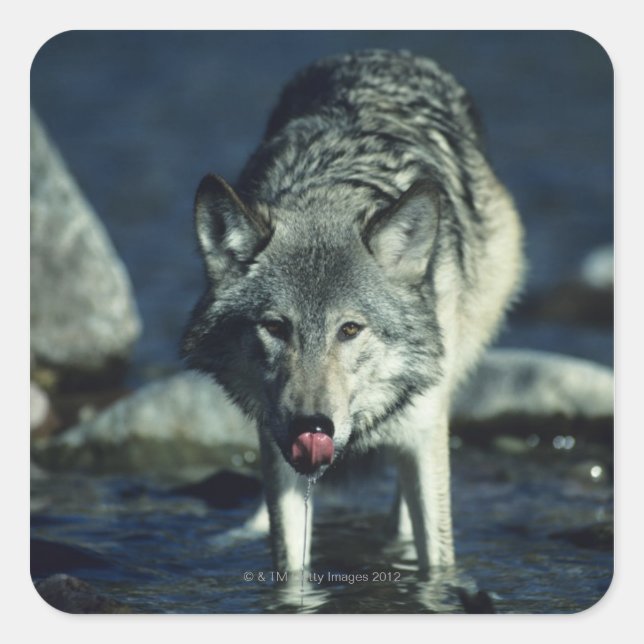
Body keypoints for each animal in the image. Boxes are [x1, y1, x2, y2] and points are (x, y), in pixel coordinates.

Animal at [182, 49, 524, 572]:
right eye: (275, 327)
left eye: (349, 329)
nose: (311, 426)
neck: (330, 193)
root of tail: (386, 53)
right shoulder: (278, 450)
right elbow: (291, 565)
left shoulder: (423, 433)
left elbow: (438, 558)